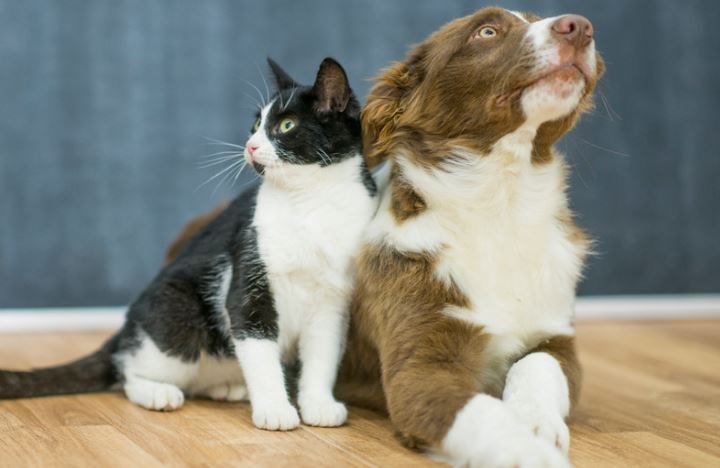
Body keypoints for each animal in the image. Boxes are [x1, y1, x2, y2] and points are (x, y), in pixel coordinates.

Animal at [0, 57, 380, 432]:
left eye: (287, 125)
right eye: (257, 123)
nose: (251, 145)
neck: (310, 201)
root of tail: (125, 328)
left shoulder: (333, 299)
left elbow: (323, 355)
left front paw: (319, 405)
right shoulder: (247, 275)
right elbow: (257, 346)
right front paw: (274, 409)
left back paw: (228, 387)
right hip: (177, 313)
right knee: (128, 369)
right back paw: (157, 393)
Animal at [167, 6, 600, 464]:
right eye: (486, 31)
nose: (580, 26)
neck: (498, 207)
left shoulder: (555, 337)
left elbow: (536, 365)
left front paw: (536, 421)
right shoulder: (419, 367)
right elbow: (482, 415)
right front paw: (530, 449)